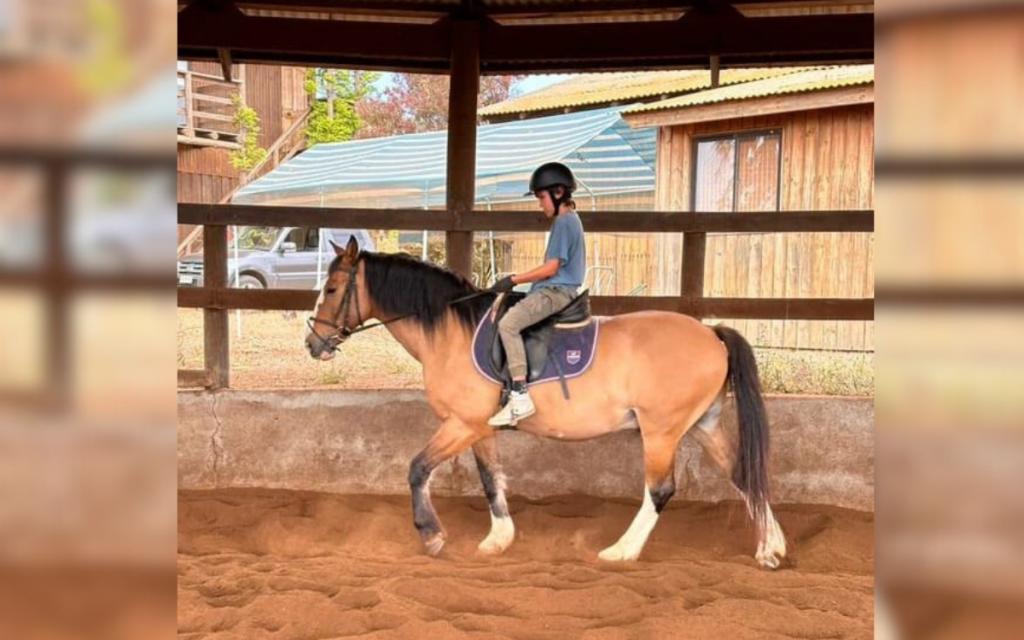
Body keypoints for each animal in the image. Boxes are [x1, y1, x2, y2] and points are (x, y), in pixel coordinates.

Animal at [307, 237, 786, 565]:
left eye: (331, 290)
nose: (314, 344)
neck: (453, 333)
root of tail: (710, 333)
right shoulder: (480, 428)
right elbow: (491, 480)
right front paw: (498, 539)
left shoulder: (461, 424)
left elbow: (417, 469)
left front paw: (432, 535)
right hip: (703, 425)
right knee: (742, 474)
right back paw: (771, 548)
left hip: (661, 431)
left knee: (660, 489)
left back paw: (621, 551)